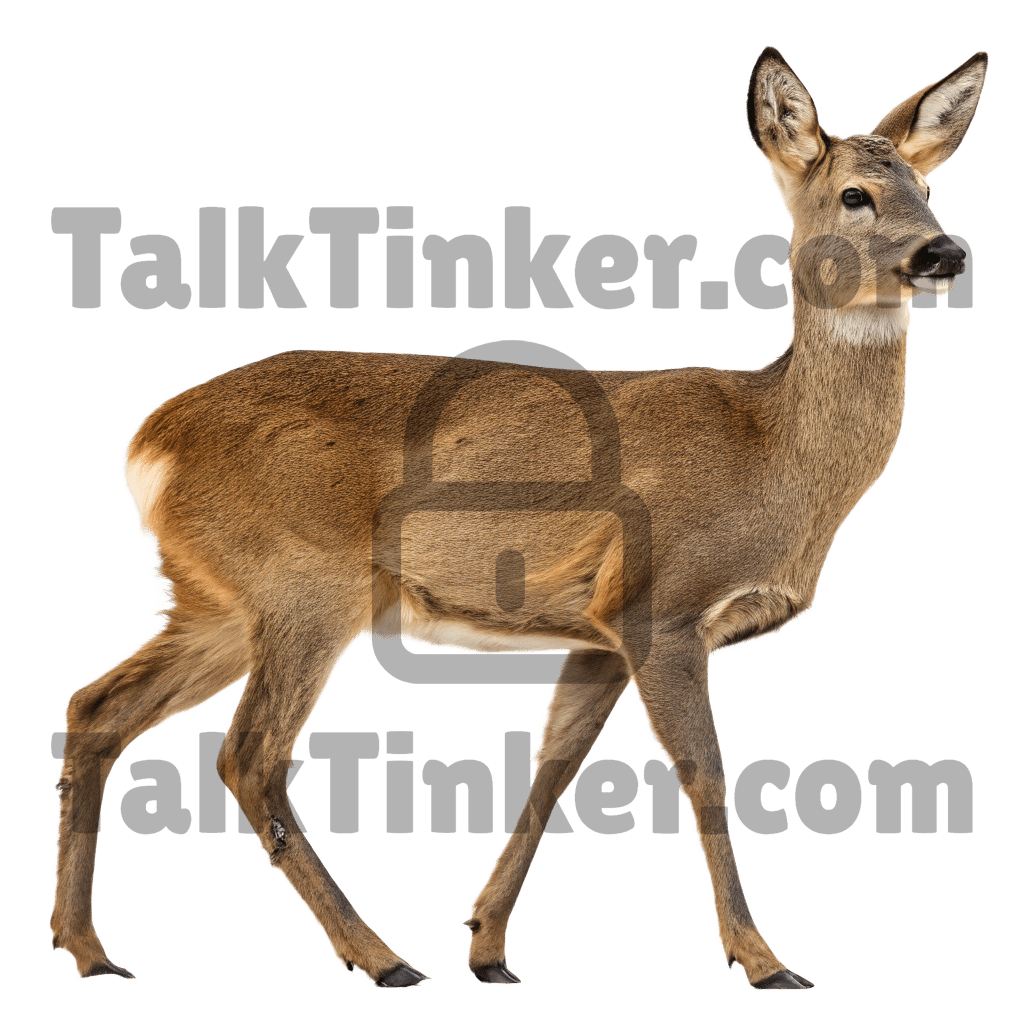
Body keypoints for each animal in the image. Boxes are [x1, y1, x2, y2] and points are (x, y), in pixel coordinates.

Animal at [51, 45, 988, 992]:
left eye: (928, 187)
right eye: (855, 194)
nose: (945, 251)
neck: (770, 456)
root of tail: (148, 442)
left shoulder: (595, 628)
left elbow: (553, 767)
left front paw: (489, 945)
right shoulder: (661, 601)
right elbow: (703, 772)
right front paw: (762, 961)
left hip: (213, 598)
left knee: (96, 710)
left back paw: (91, 950)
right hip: (303, 583)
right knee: (248, 754)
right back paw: (380, 959)